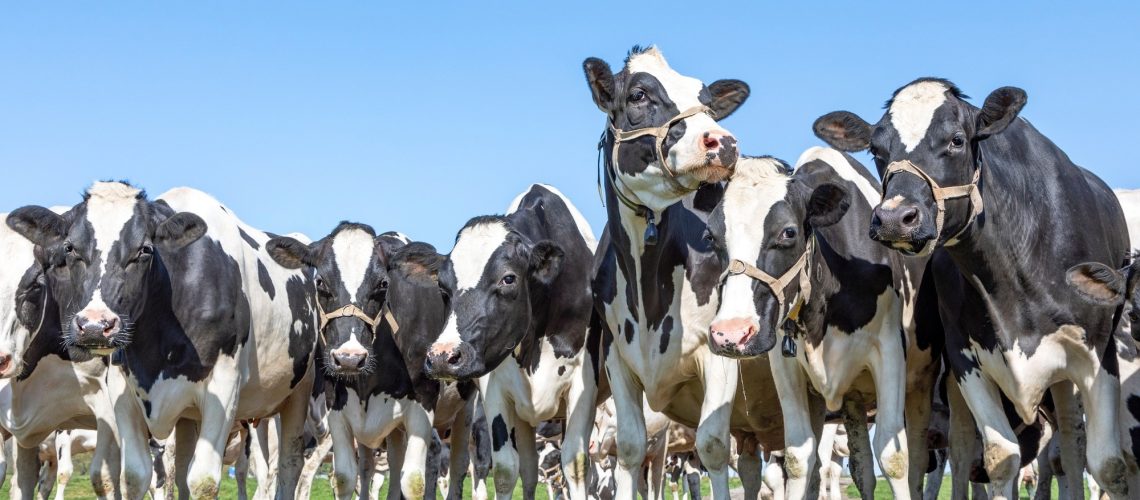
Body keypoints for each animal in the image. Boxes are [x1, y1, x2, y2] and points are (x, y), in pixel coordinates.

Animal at [395, 183, 599, 500]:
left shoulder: (584, 384)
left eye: (508, 279)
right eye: (442, 285)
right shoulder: (495, 389)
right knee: (529, 470)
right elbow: (505, 470)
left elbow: (576, 465)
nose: (442, 357)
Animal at [581, 45, 790, 499]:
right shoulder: (616, 356)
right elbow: (629, 449)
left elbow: (712, 446)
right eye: (638, 95)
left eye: (708, 101)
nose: (723, 141)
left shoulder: (719, 350)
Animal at [704, 150, 946, 498]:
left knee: (916, 460)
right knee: (859, 469)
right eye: (710, 235)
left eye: (788, 232)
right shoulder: (785, 365)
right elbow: (798, 459)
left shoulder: (889, 352)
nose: (731, 333)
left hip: (921, 382)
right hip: (848, 398)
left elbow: (895, 458)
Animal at [814, 77, 1133, 498]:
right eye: (876, 150)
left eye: (956, 140)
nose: (895, 218)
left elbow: (1109, 465)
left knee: (1071, 445)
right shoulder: (965, 358)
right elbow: (1000, 460)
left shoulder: (1099, 354)